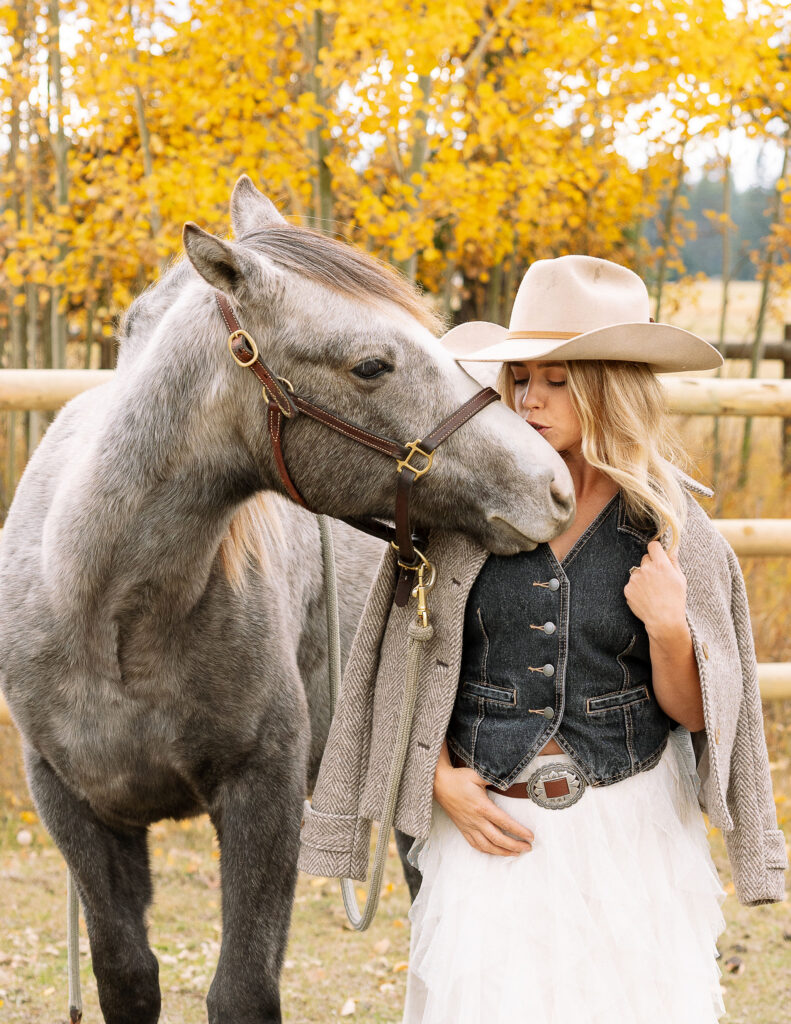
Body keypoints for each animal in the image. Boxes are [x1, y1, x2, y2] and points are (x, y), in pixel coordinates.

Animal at [0, 175, 574, 1024]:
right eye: (371, 365)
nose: (554, 486)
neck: (109, 613)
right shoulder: (76, 805)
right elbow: (127, 976)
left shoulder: (263, 796)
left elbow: (242, 990)